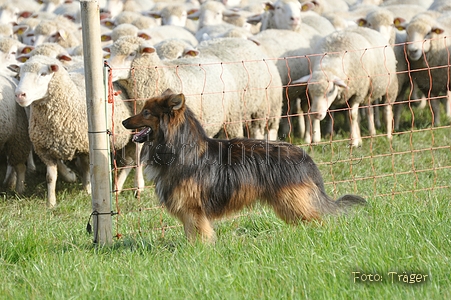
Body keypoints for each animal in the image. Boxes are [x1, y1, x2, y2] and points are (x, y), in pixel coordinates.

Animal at [121, 88, 368, 243]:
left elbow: (200, 237)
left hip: (293, 202)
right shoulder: (189, 213)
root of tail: (304, 156)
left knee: (319, 220)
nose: (123, 122)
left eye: (146, 112)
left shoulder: (193, 210)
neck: (180, 148)